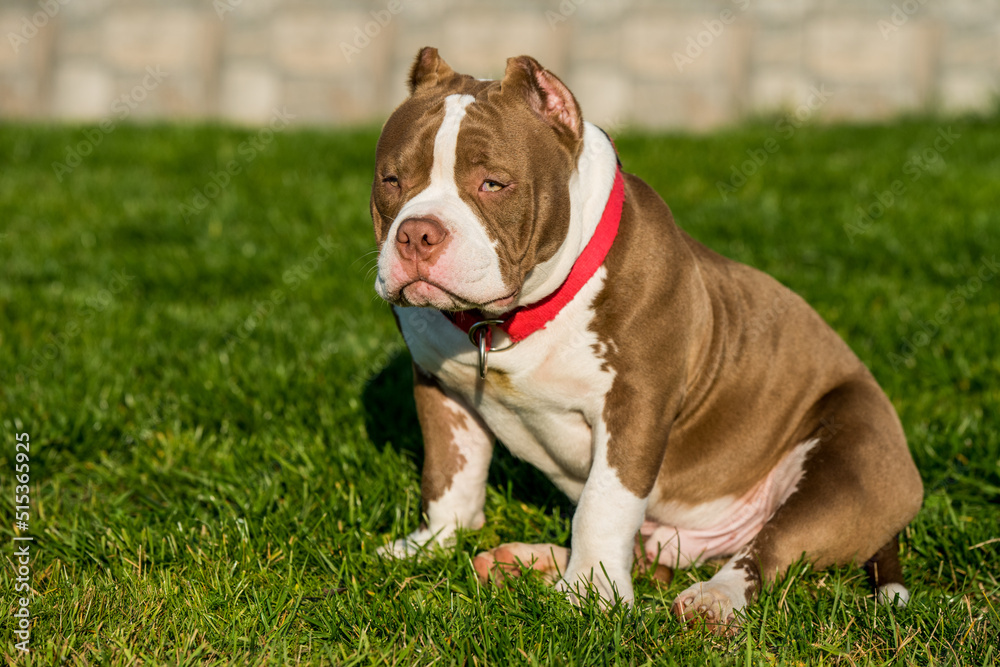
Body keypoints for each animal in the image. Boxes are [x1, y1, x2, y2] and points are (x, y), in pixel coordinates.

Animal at [372, 48, 924, 636]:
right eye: (391, 180)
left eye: (493, 184)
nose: (417, 234)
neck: (505, 323)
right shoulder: (438, 386)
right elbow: (449, 477)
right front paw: (430, 544)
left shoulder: (635, 406)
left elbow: (603, 504)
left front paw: (590, 597)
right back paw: (522, 561)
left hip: (850, 463)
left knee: (767, 551)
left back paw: (713, 599)